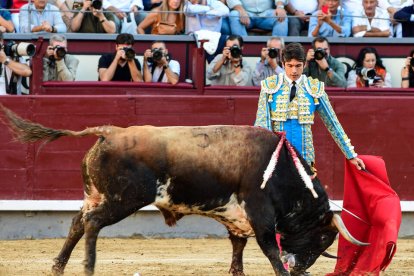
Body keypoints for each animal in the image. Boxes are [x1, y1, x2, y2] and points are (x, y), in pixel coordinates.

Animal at [0, 104, 368, 274]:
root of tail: (108, 132)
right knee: (91, 224)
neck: (281, 168)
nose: (303, 268)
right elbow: (269, 248)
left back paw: (58, 265)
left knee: (78, 222)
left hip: (96, 194)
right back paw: (88, 266)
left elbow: (238, 245)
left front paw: (236, 271)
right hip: (124, 199)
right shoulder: (259, 209)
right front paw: (282, 272)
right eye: (324, 236)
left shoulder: (236, 215)